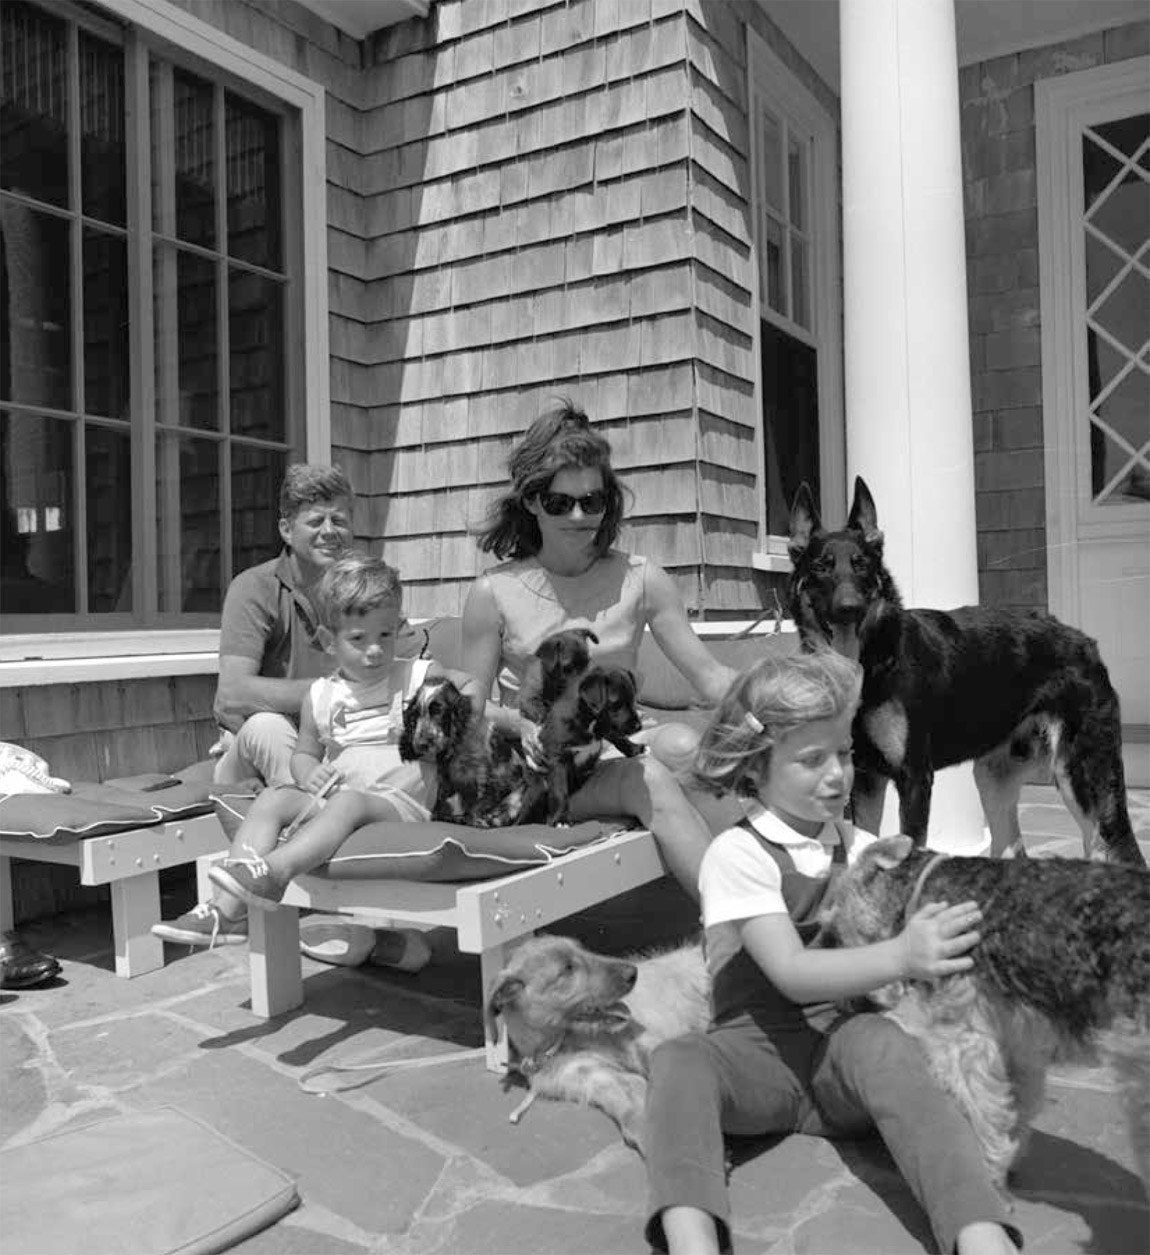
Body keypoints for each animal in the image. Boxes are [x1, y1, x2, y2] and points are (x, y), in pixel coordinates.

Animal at [399, 682, 534, 828]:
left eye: (438, 711)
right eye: (415, 715)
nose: (421, 744)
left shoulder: (484, 774)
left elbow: (479, 802)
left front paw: (473, 819)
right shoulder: (446, 776)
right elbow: (443, 800)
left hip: (516, 796)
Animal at [484, 933, 708, 1154]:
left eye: (583, 949)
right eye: (567, 968)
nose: (633, 973)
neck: (568, 1039)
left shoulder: (643, 1041)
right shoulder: (595, 1076)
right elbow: (628, 1102)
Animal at [788, 474, 1144, 868]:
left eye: (861, 565)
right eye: (821, 567)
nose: (849, 608)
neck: (874, 661)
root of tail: (1086, 643)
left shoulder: (914, 779)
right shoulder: (865, 780)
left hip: (1081, 779)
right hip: (993, 778)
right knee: (1012, 849)